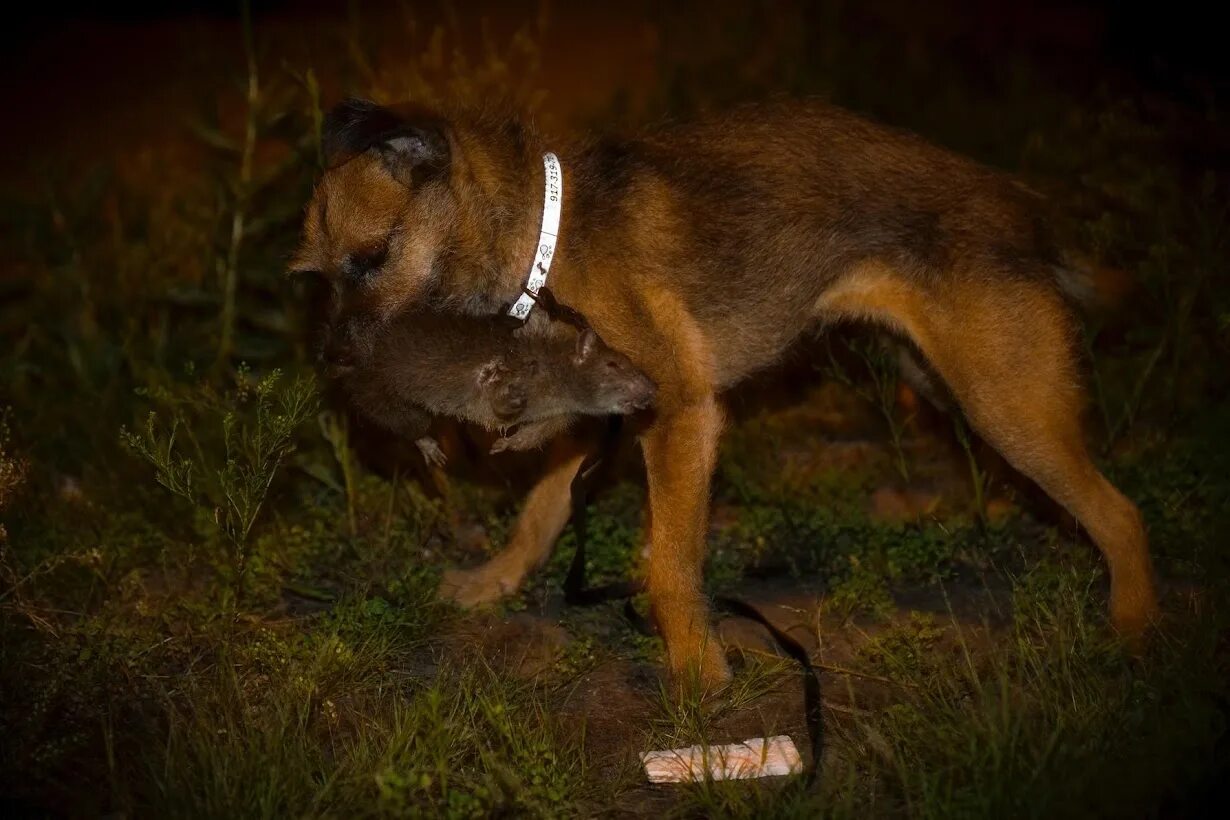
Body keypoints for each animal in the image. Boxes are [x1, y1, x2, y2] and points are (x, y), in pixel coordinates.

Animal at [292, 97, 1156, 693]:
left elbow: (670, 567)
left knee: (1121, 514)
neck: (537, 239)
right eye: (317, 277)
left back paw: (1132, 633)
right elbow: (540, 511)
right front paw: (495, 581)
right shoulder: (592, 408)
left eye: (373, 259)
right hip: (944, 384)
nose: (333, 365)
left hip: (1002, 403)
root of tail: (1018, 201)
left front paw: (699, 678)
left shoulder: (677, 414)